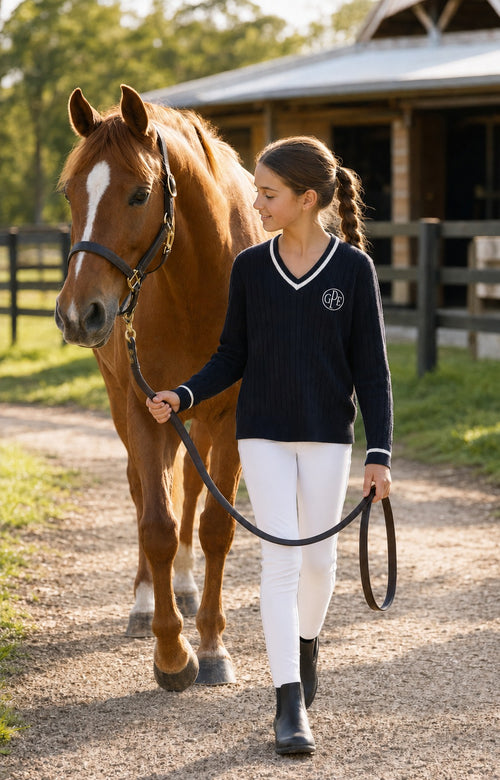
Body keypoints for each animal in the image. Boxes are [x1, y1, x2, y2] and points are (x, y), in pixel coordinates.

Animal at [55, 84, 265, 690]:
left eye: (139, 194)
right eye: (70, 193)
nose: (78, 313)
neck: (199, 281)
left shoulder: (230, 417)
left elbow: (215, 525)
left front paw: (213, 644)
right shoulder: (146, 407)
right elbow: (156, 525)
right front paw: (171, 652)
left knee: (191, 491)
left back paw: (189, 589)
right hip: (129, 407)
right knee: (145, 491)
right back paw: (147, 599)